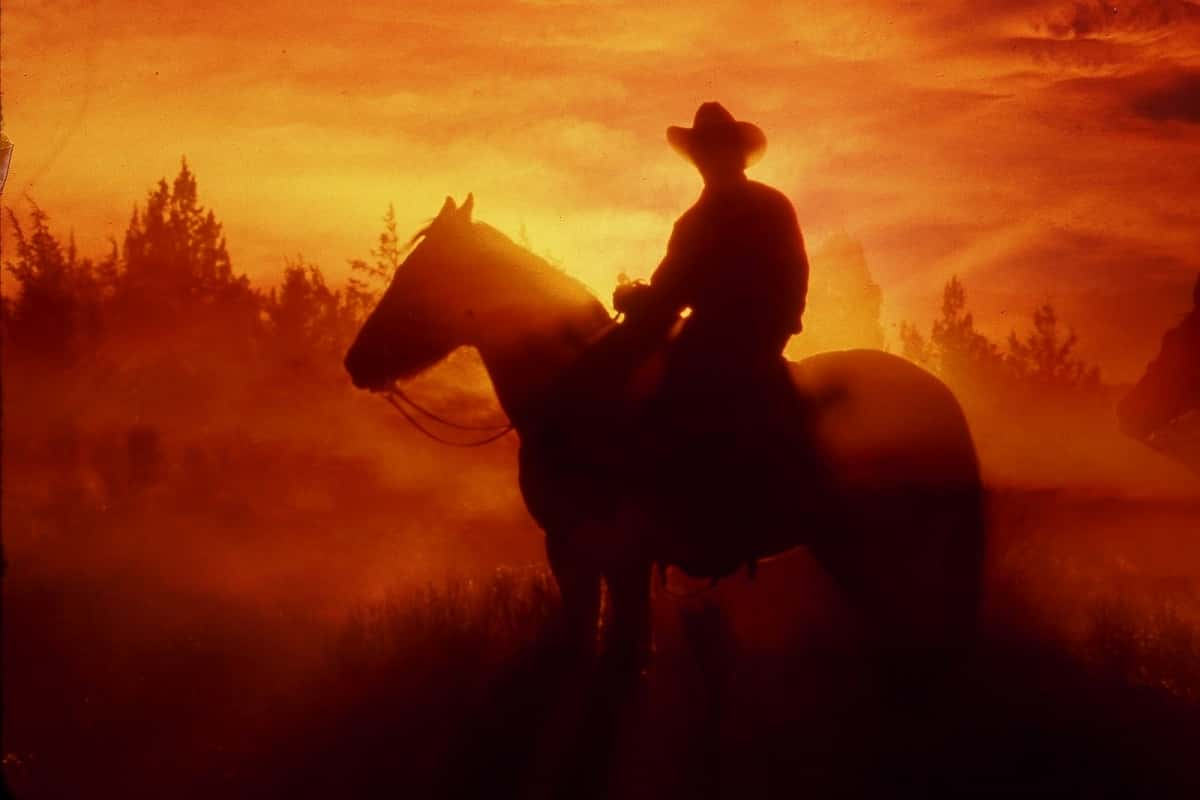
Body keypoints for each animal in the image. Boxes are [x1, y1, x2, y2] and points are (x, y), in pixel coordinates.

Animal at [345, 194, 984, 676]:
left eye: (419, 276)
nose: (355, 362)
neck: (581, 383)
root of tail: (945, 399)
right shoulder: (589, 552)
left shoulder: (603, 548)